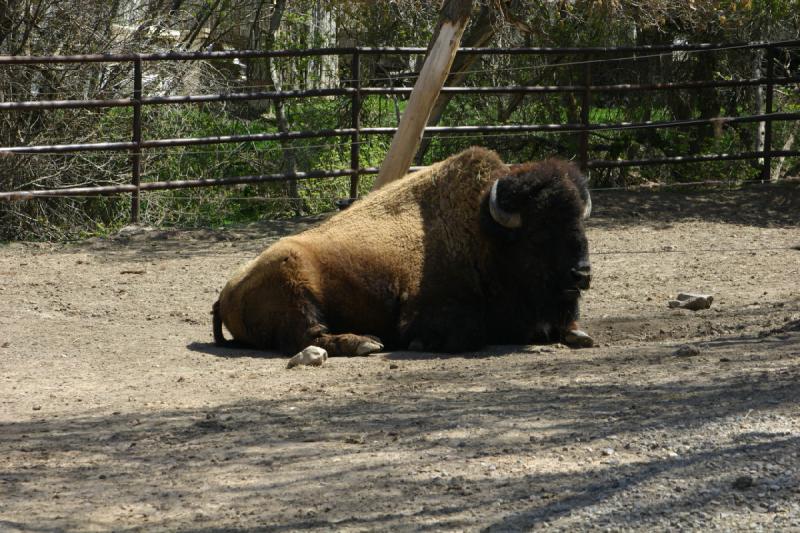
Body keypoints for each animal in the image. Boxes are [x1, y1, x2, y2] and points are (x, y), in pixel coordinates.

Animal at [212, 145, 592, 356]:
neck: (485, 231)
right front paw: (420, 343)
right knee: (308, 337)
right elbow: (469, 333)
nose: (582, 274)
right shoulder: (424, 310)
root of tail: (225, 292)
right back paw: (365, 343)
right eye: (539, 232)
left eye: (580, 222)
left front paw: (578, 334)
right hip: (295, 285)